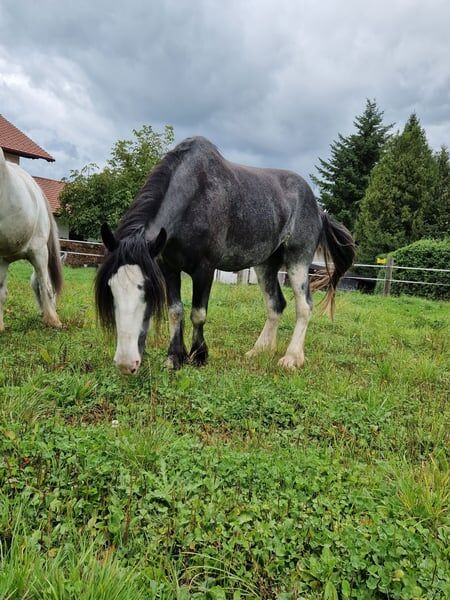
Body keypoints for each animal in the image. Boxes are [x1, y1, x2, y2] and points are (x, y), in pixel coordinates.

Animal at [0, 148, 63, 330]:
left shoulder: (2, 259)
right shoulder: (39, 251)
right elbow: (45, 285)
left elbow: (1, 292)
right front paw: (53, 320)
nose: (41, 313)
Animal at [96, 137, 356, 372]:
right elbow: (175, 311)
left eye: (148, 291)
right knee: (275, 304)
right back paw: (259, 350)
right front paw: (174, 358)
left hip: (298, 261)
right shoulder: (168, 267)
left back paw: (291, 358)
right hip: (266, 265)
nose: (126, 363)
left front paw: (199, 356)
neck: (195, 196)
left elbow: (198, 313)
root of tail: (319, 209)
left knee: (304, 306)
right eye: (111, 290)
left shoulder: (205, 269)